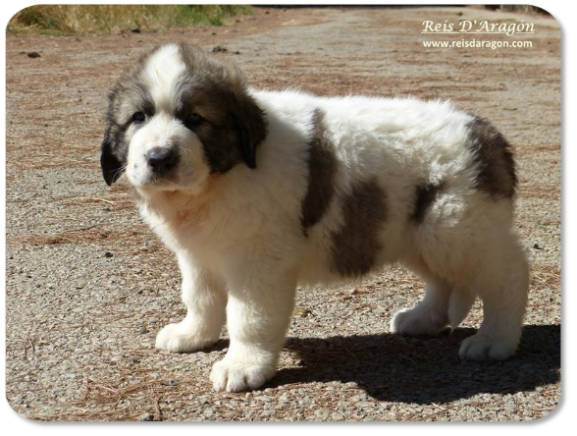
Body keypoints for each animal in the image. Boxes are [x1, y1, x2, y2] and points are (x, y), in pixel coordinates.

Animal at [99, 42, 528, 394]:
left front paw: (242, 367)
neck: (223, 174)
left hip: (458, 227)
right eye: (138, 118)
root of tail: (487, 133)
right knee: (444, 278)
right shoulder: (198, 254)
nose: (159, 158)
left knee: (508, 275)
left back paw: (495, 340)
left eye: (195, 119)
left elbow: (249, 316)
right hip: (417, 231)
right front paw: (192, 335)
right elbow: (200, 296)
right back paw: (423, 319)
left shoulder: (258, 262)